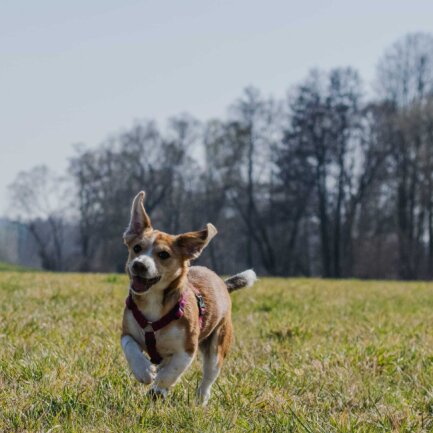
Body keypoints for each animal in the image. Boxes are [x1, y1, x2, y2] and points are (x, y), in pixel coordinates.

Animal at [120, 191, 255, 404]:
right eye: (137, 248)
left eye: (163, 254)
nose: (139, 265)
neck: (154, 302)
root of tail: (222, 283)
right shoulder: (127, 331)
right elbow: (130, 347)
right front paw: (144, 371)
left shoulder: (187, 348)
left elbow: (173, 370)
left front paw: (159, 382)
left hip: (217, 347)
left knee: (208, 377)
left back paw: (199, 401)